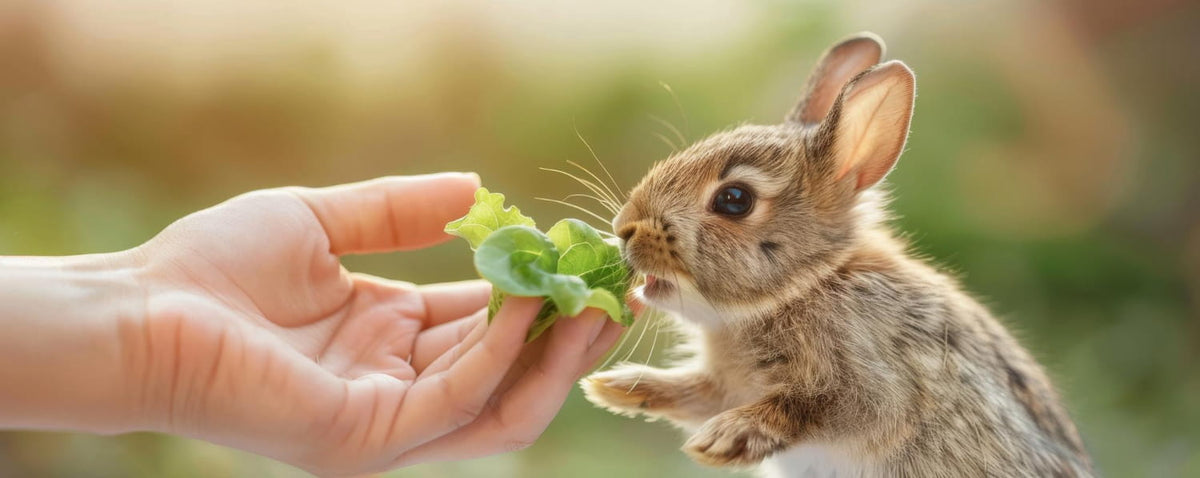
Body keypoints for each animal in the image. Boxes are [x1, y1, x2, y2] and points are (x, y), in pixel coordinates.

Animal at [581, 33, 1093, 477]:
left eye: (734, 199)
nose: (624, 229)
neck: (806, 285)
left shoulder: (877, 386)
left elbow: (812, 408)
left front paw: (726, 437)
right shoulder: (726, 386)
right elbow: (697, 393)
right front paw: (617, 387)